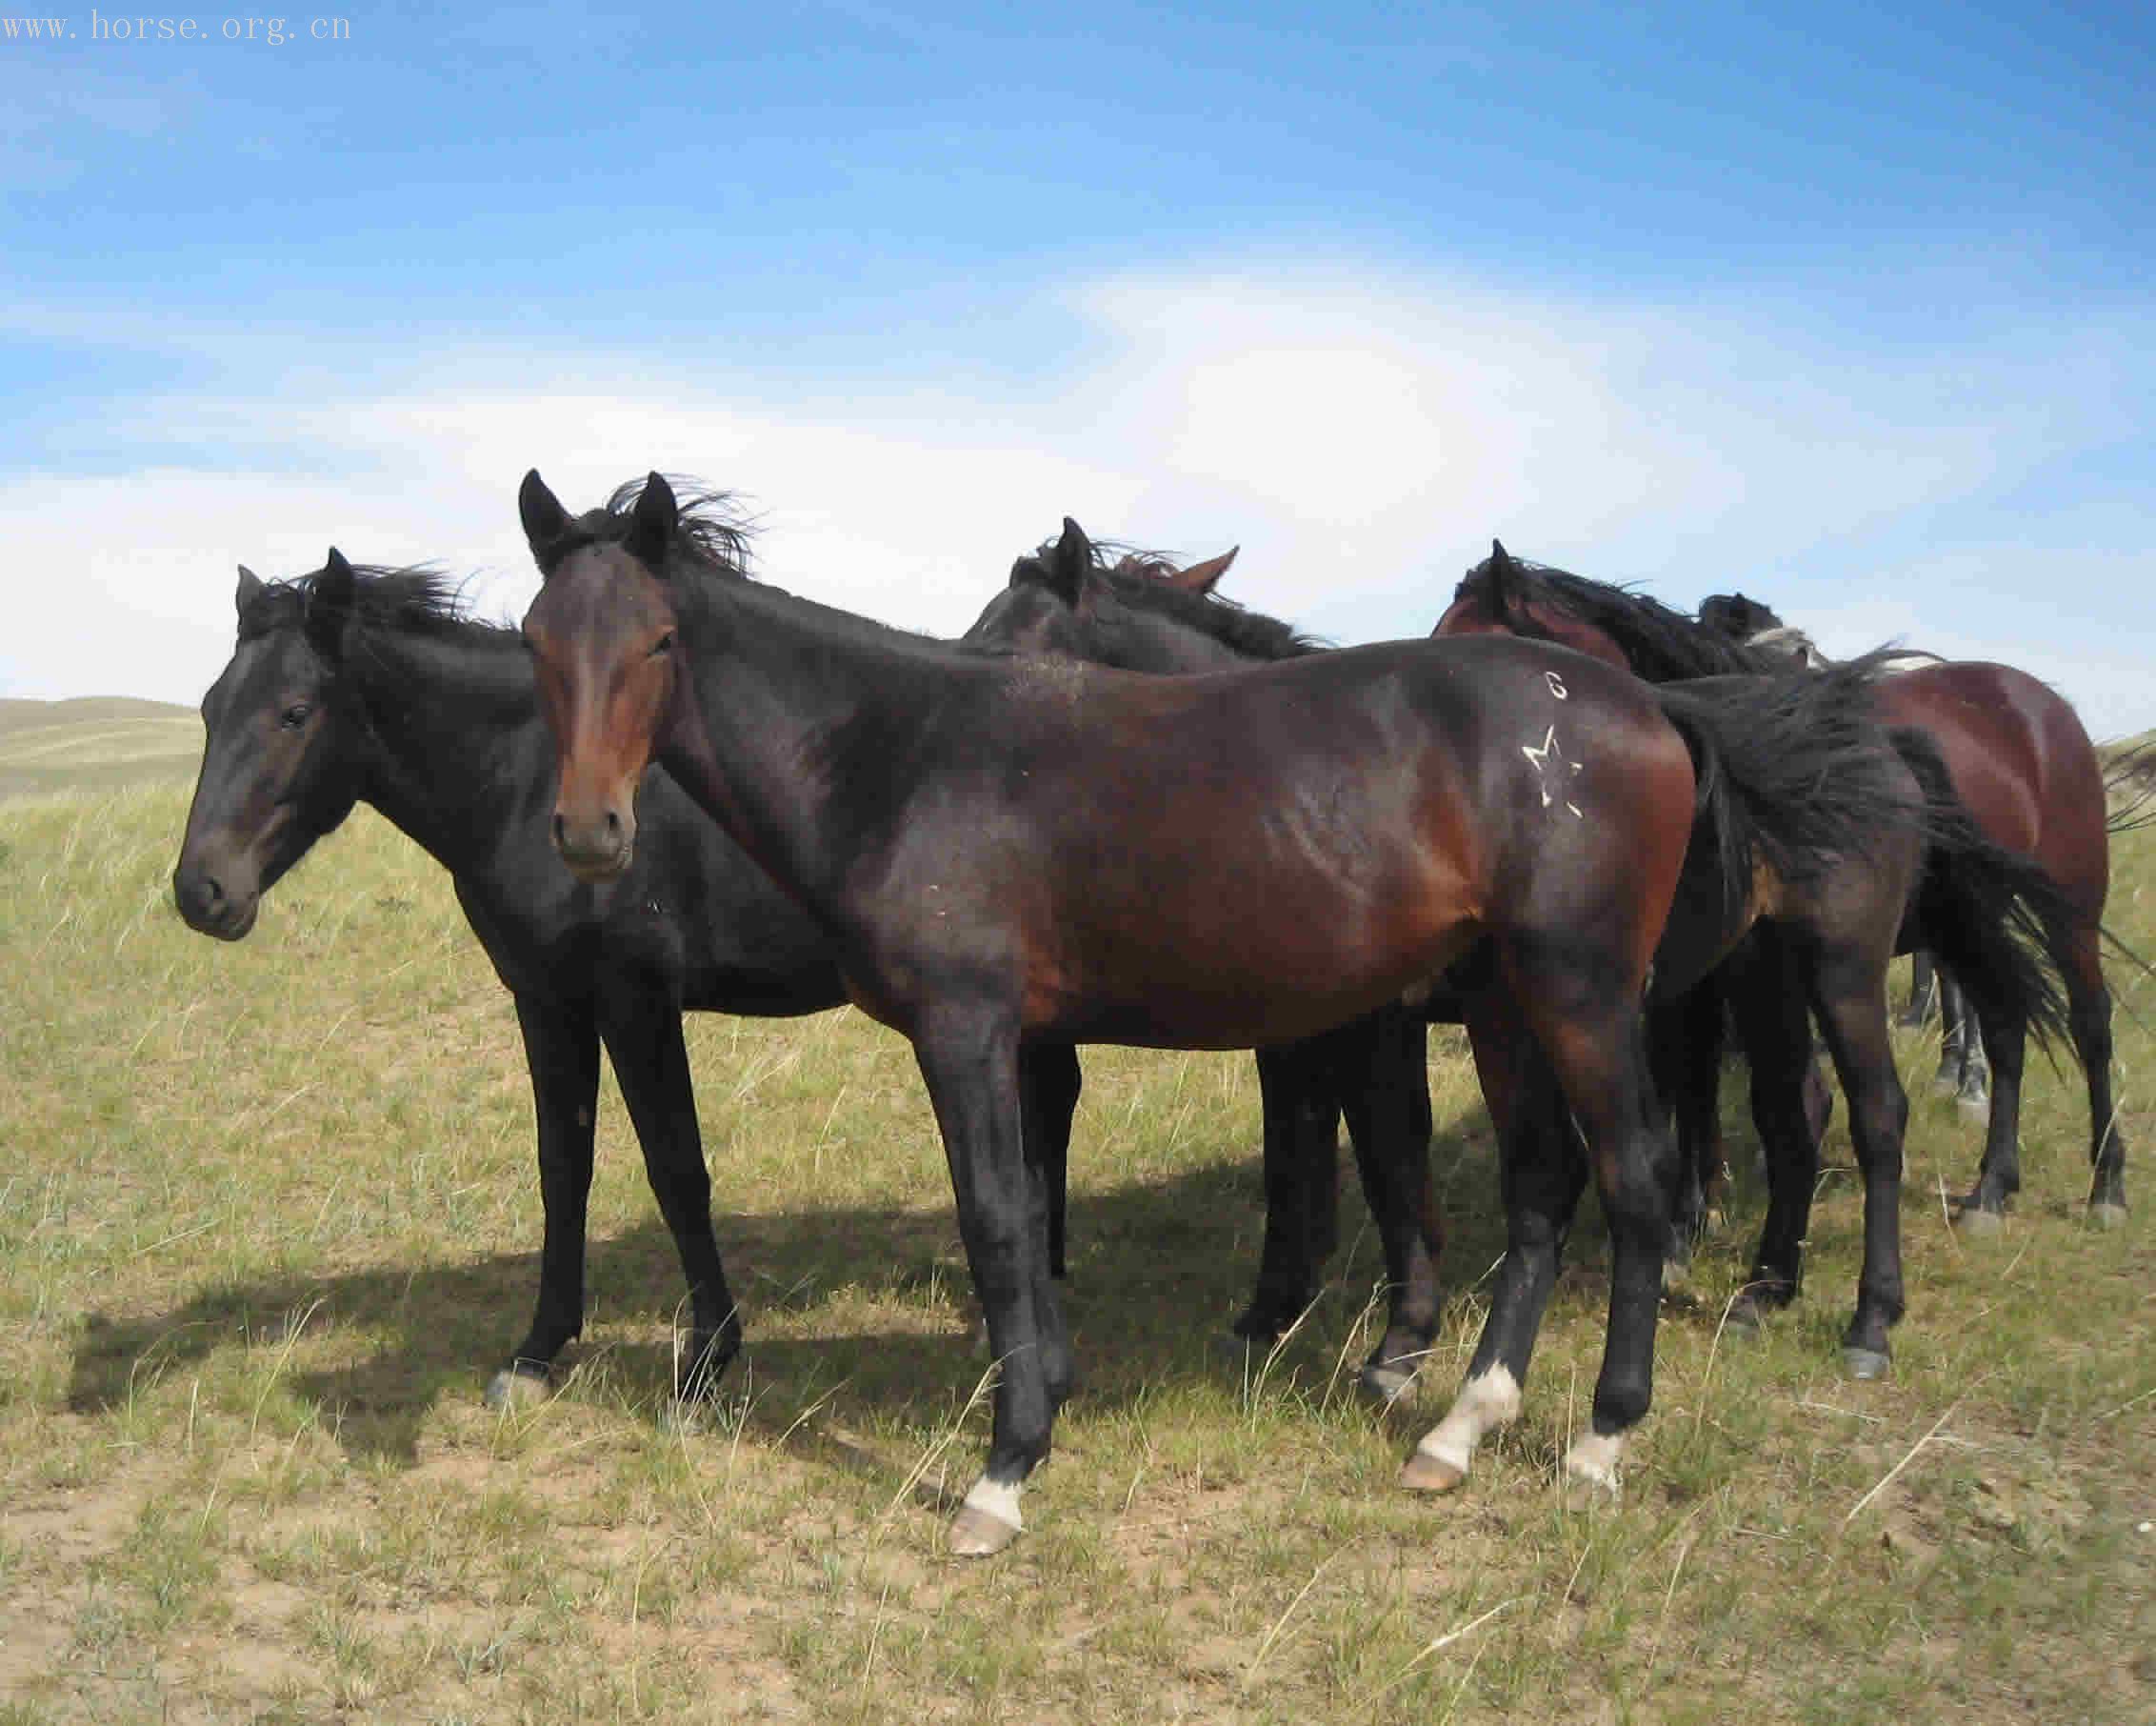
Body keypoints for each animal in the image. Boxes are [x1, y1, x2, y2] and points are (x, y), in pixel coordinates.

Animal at [526, 468, 1940, 1553]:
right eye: (537, 645)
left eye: (657, 644)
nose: (588, 833)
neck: (903, 755)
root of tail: (1653, 706)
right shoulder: (1035, 1042)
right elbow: (1032, 1211)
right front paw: (1049, 1393)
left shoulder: (968, 1032)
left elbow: (999, 1220)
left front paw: (1004, 1470)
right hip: (1510, 1010)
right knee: (1544, 1186)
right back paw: (1461, 1425)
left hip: (1590, 996)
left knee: (1646, 1179)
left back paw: (1605, 1435)